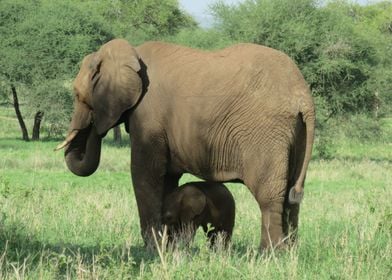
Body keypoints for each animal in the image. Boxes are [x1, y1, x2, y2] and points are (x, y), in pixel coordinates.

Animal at [56, 38, 316, 249]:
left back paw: (268, 255)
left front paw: (153, 249)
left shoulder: (148, 117)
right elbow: (167, 178)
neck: (130, 52)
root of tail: (303, 96)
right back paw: (290, 254)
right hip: (296, 134)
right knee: (291, 197)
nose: (94, 125)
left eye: (78, 95)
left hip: (266, 133)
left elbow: (145, 173)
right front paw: (167, 247)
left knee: (269, 196)